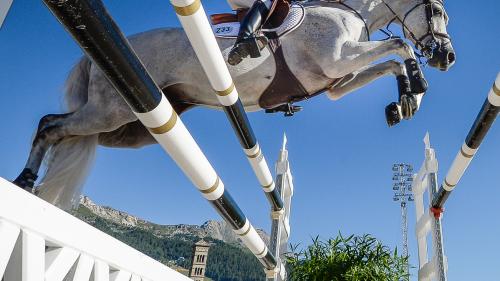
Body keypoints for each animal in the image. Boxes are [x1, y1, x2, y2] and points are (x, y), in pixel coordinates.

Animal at [13, 0, 456, 208]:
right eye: (436, 10)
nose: (446, 57)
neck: (348, 12)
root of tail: (93, 57)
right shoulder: (337, 60)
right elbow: (398, 45)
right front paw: (416, 84)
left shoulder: (337, 80)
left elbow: (390, 61)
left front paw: (404, 101)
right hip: (111, 111)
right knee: (50, 123)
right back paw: (24, 179)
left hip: (130, 128)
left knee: (63, 129)